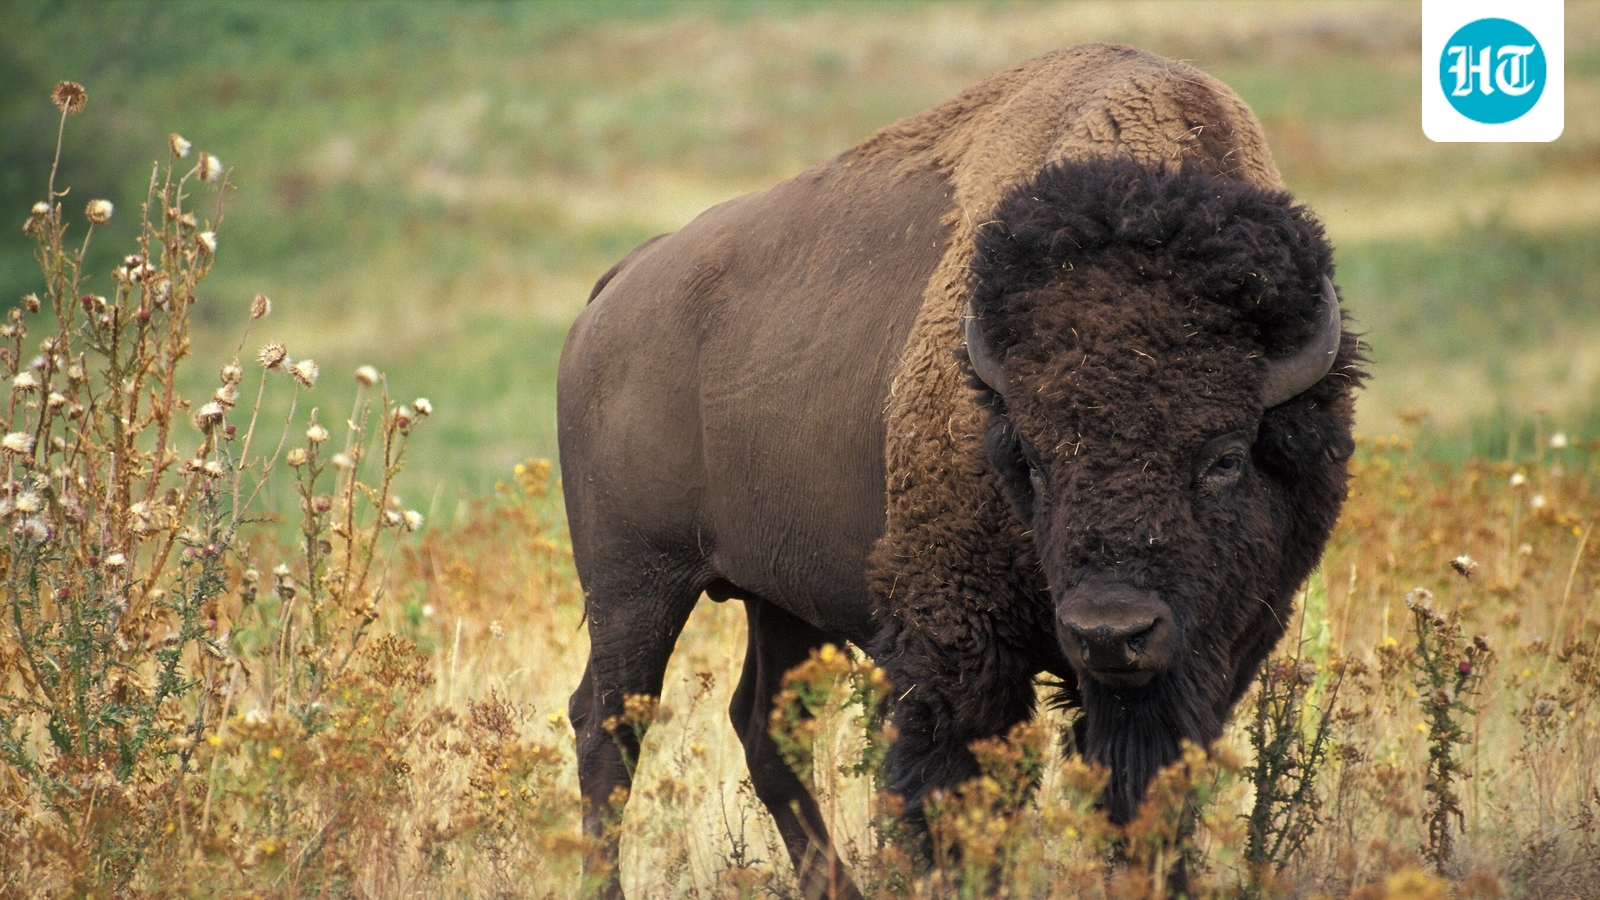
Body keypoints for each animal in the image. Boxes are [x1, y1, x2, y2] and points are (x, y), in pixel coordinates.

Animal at [558, 43, 1360, 899]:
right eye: (1031, 459)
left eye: (1225, 458)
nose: (1110, 632)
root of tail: (617, 288)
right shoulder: (956, 640)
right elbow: (954, 788)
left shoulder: (1217, 650)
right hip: (635, 584)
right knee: (609, 724)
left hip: (778, 598)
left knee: (762, 724)